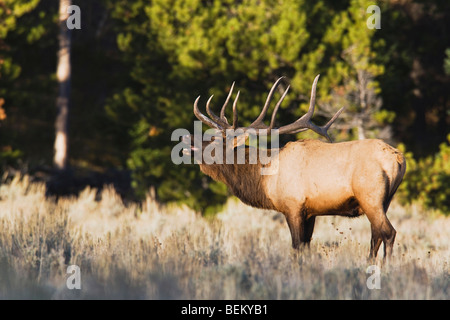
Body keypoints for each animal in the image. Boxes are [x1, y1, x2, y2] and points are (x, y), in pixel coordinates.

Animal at [185, 75, 406, 260]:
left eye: (214, 141)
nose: (188, 138)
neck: (265, 178)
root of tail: (399, 159)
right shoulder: (311, 212)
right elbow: (306, 247)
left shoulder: (292, 206)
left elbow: (297, 247)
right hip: (385, 200)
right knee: (376, 236)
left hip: (370, 197)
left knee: (388, 232)